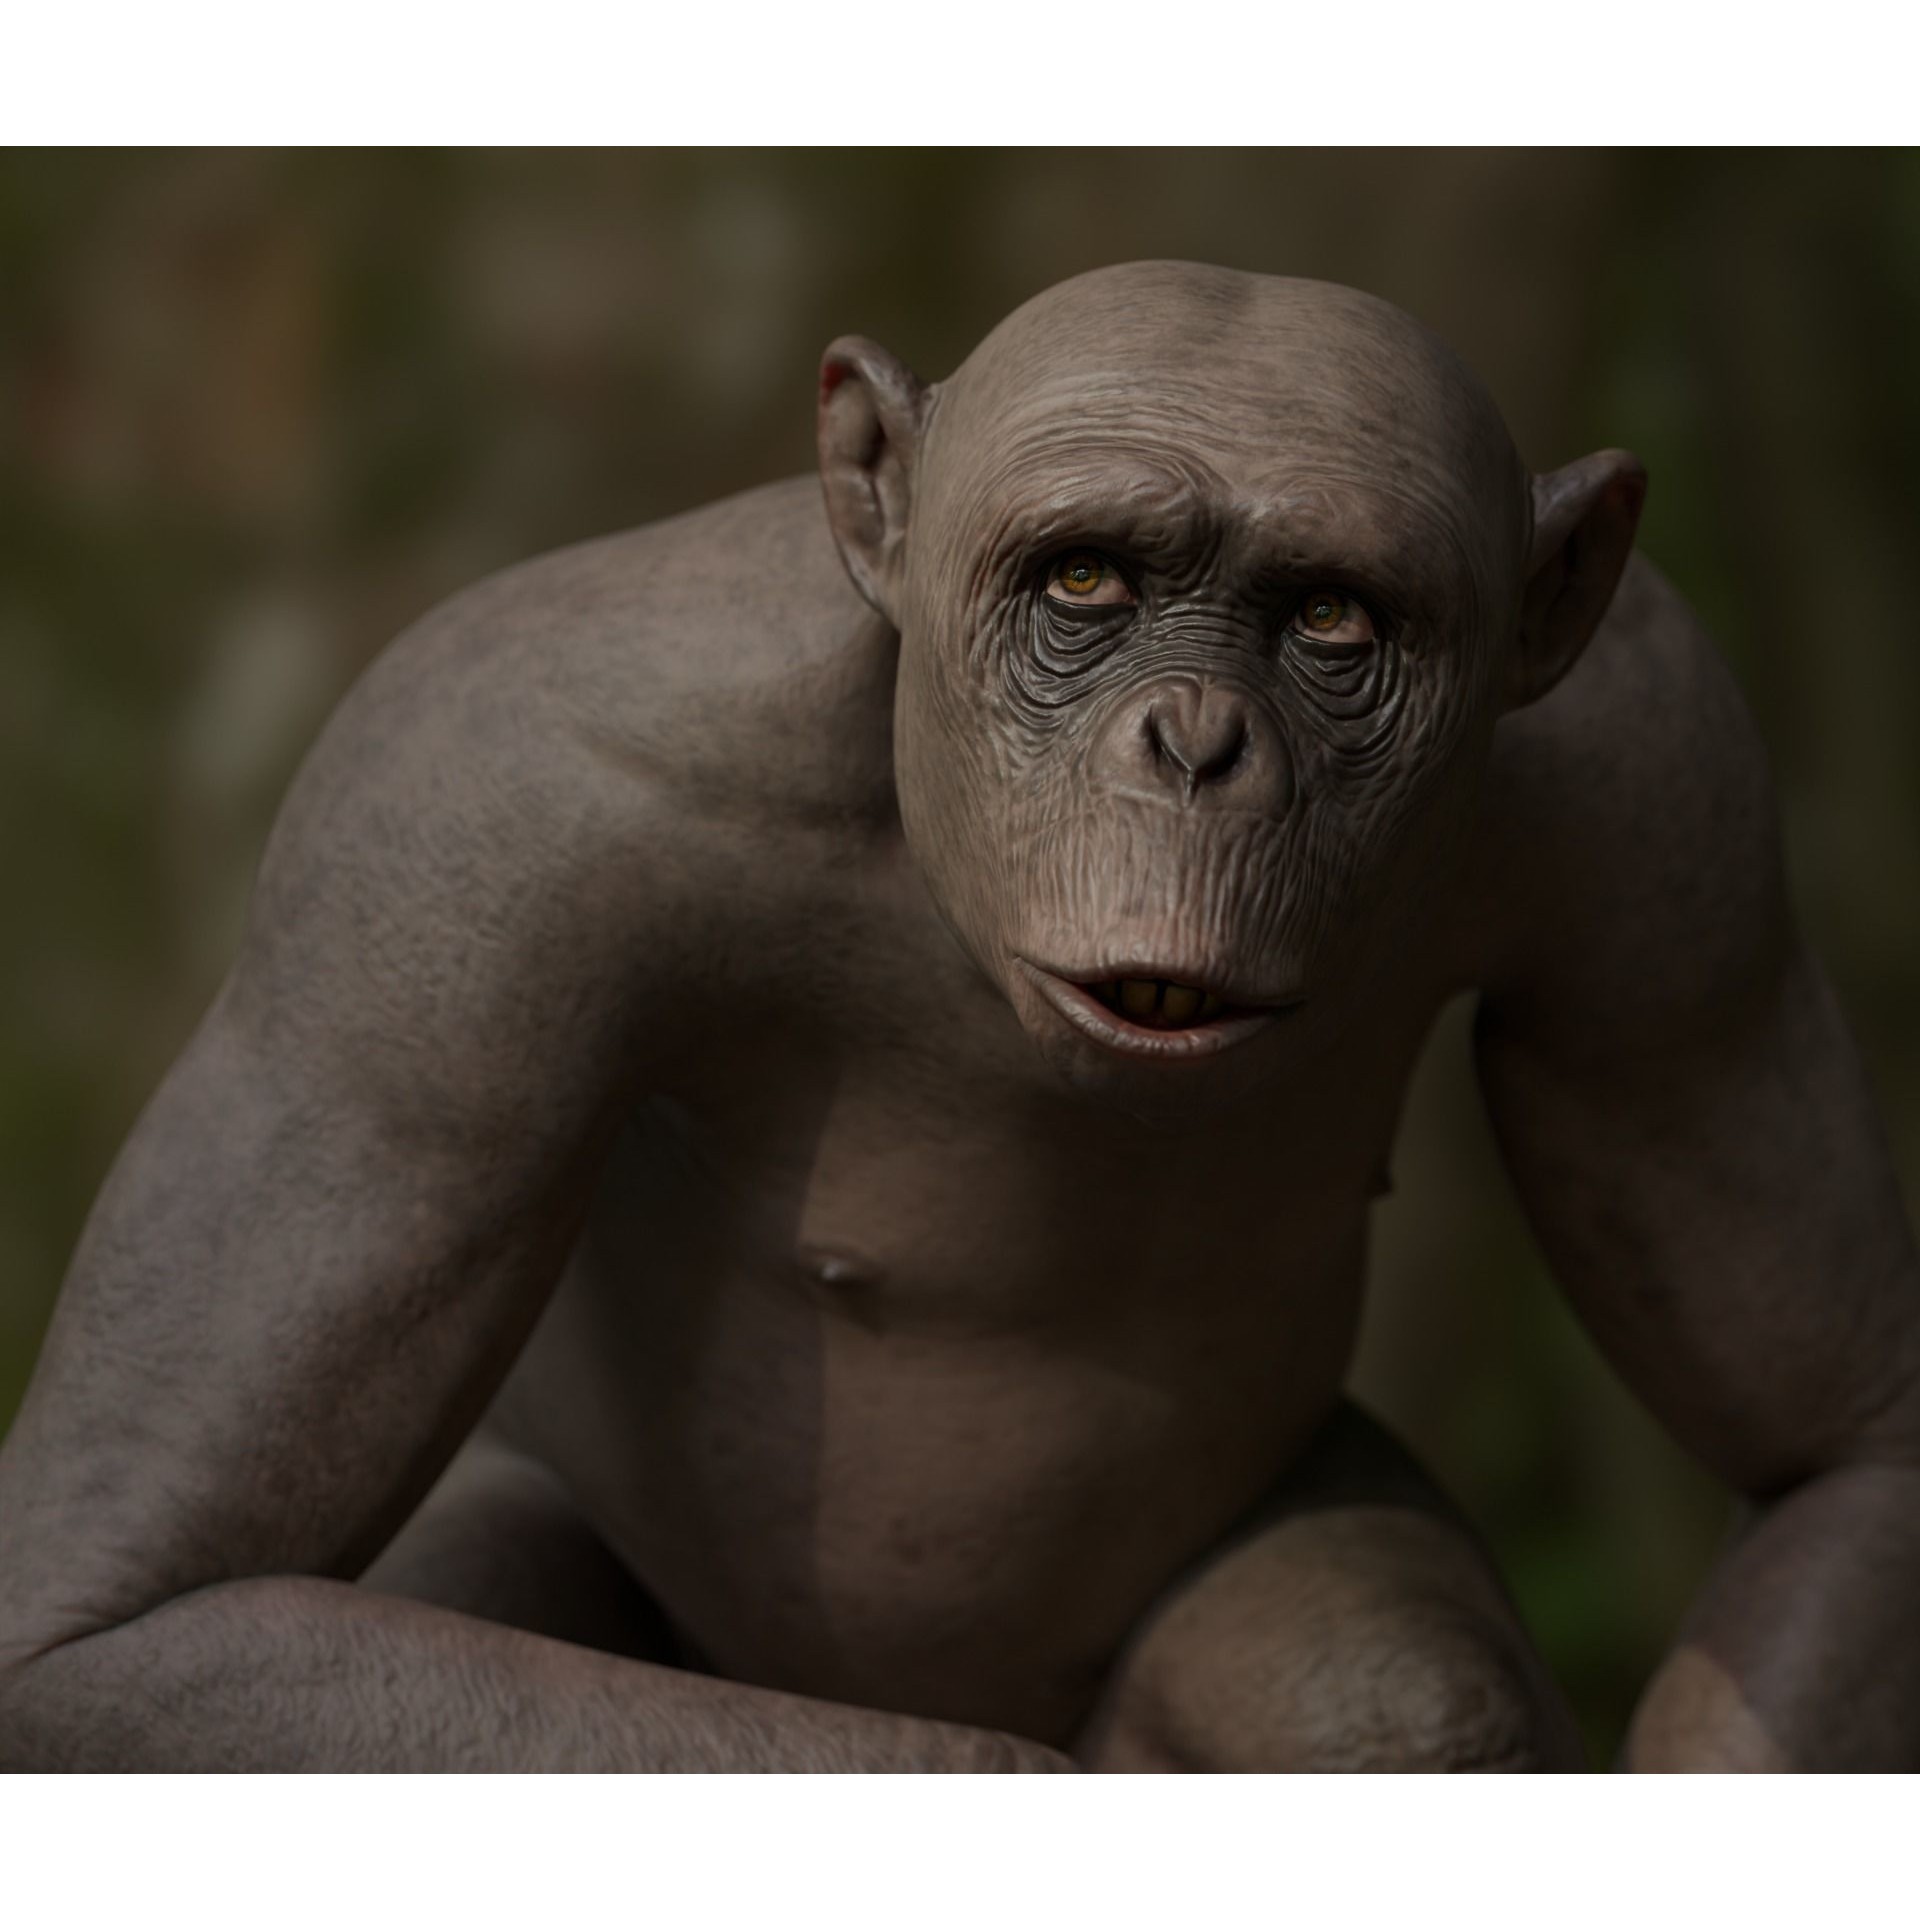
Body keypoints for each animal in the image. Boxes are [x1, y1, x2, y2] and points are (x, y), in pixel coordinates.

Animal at [2, 261, 1917, 1770]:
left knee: (1386, 1694)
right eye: (1084, 586)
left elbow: (1837, 1449)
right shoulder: (452, 833)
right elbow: (123, 1610)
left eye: (1332, 618)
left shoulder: (1675, 815)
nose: (1196, 743)